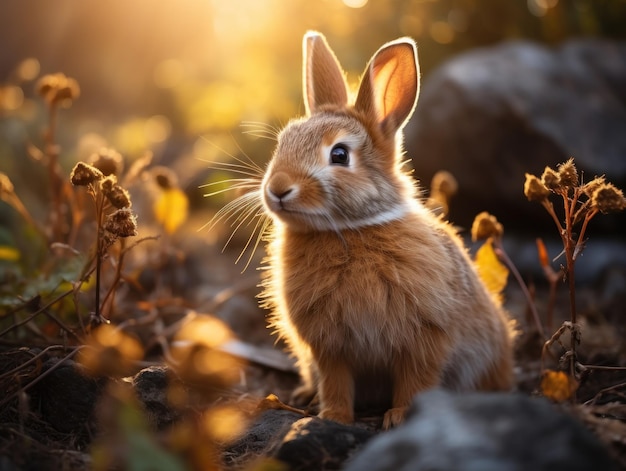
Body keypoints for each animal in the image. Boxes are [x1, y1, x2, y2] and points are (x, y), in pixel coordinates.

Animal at [214, 32, 512, 432]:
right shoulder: (329, 346)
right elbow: (336, 380)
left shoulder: (424, 336)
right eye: (283, 143)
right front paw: (334, 417)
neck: (347, 230)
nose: (276, 189)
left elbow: (415, 379)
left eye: (339, 155)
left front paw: (399, 417)